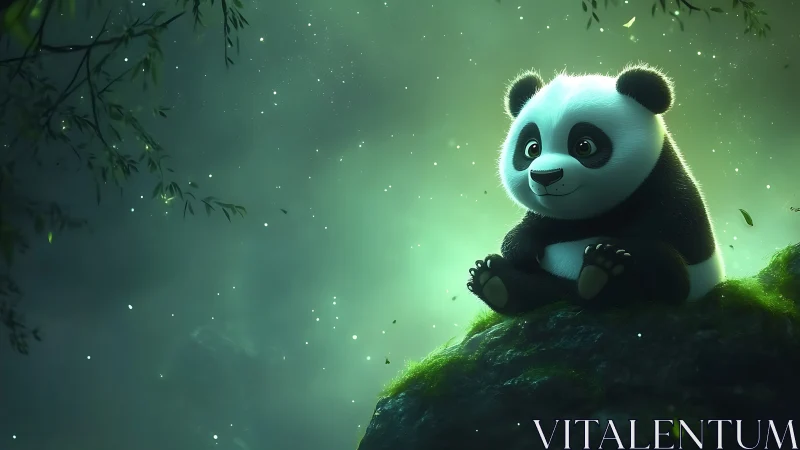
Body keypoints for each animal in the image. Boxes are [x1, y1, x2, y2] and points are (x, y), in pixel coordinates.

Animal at [466, 64, 725, 314]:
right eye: (532, 148)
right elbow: (529, 229)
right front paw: (520, 249)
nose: (545, 176)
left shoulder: (667, 192)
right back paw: (492, 281)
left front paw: (610, 253)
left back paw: (602, 271)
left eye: (584, 146)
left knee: (665, 269)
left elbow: (669, 239)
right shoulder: (552, 218)